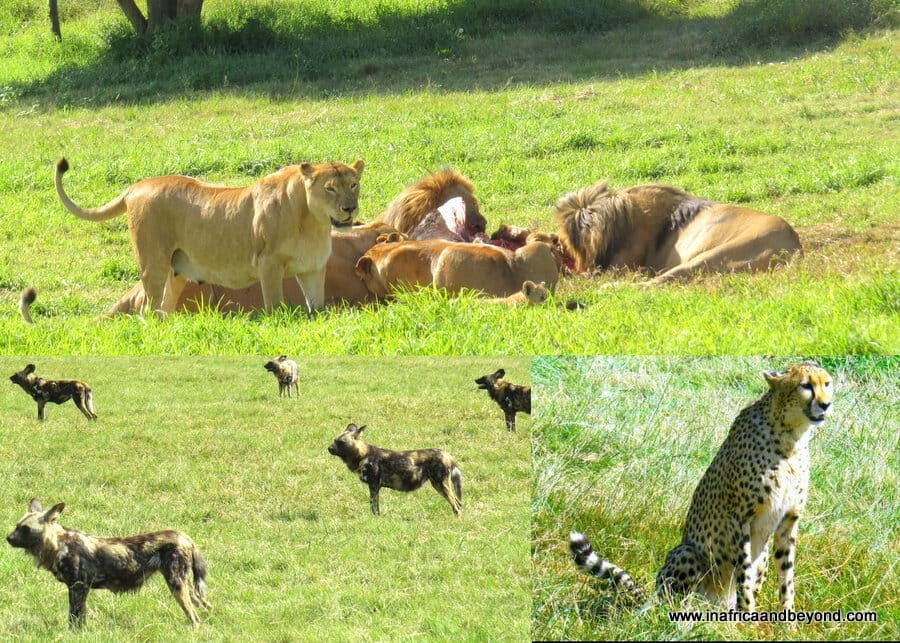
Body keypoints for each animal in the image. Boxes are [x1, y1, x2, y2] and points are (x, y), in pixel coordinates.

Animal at [55, 157, 364, 314]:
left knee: (163, 308)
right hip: (152, 265)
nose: (350, 208)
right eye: (330, 188)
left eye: (353, 184)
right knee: (147, 309)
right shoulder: (268, 264)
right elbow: (275, 305)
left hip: (176, 272)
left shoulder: (313, 269)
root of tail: (137, 186)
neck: (313, 222)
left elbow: (317, 307)